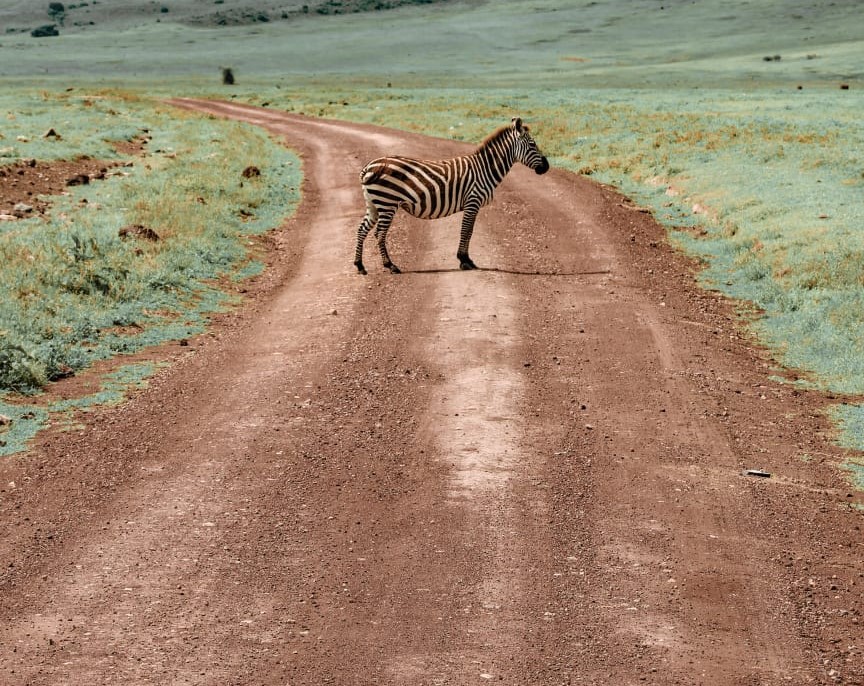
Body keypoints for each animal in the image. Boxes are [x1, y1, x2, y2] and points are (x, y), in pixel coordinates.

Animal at [352, 117, 548, 276]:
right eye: (532, 144)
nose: (546, 167)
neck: (484, 169)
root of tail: (368, 167)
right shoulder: (472, 201)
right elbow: (466, 231)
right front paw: (464, 261)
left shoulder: (473, 204)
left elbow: (469, 231)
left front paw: (467, 260)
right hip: (387, 203)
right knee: (379, 233)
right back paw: (390, 266)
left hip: (374, 204)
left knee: (362, 230)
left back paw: (360, 266)